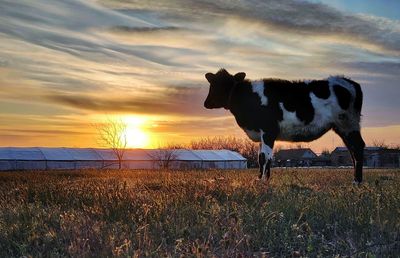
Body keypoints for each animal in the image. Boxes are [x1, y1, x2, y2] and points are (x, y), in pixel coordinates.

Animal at [205, 68, 364, 183]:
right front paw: (260, 179)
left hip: (348, 123)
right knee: (352, 150)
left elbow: (265, 157)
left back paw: (357, 181)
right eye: (213, 84)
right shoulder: (261, 134)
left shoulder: (269, 130)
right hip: (342, 127)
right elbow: (261, 157)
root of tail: (349, 82)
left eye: (226, 85)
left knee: (357, 147)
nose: (206, 103)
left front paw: (264, 181)